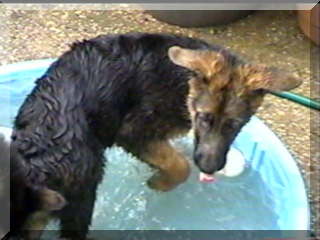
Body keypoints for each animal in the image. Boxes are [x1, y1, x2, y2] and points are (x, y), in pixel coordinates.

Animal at [8, 32, 302, 239]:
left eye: (234, 125)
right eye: (204, 118)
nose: (210, 168)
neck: (182, 80)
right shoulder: (133, 131)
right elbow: (180, 165)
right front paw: (160, 183)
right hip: (82, 196)